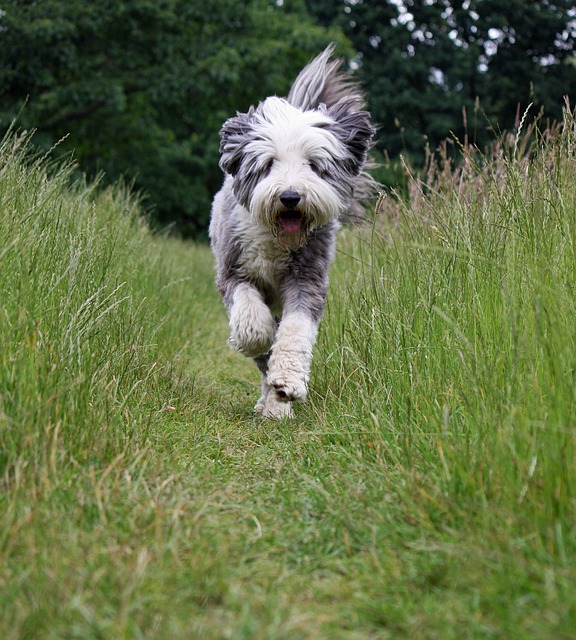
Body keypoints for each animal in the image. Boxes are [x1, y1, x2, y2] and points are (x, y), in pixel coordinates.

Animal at [209, 42, 376, 418]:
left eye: (314, 165)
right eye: (269, 164)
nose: (290, 197)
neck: (276, 239)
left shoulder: (307, 277)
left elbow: (295, 330)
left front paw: (285, 385)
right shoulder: (233, 269)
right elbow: (252, 319)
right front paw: (252, 338)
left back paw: (275, 404)